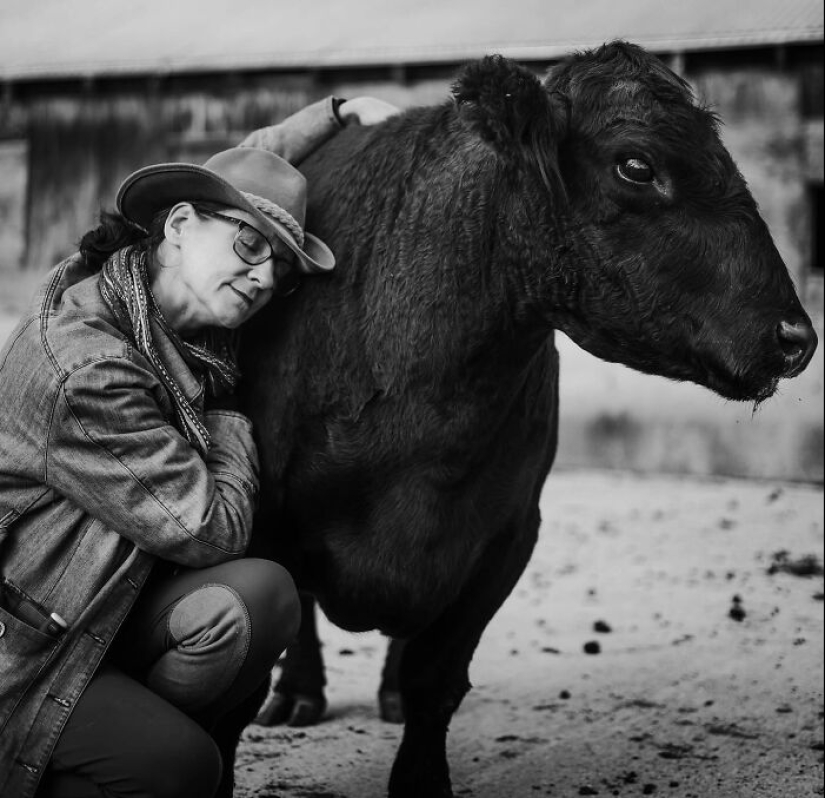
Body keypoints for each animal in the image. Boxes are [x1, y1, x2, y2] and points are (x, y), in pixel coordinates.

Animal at [224, 43, 816, 798]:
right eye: (636, 164)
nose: (795, 336)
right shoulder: (261, 518)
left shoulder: (506, 535)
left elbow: (436, 678)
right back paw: (299, 694)